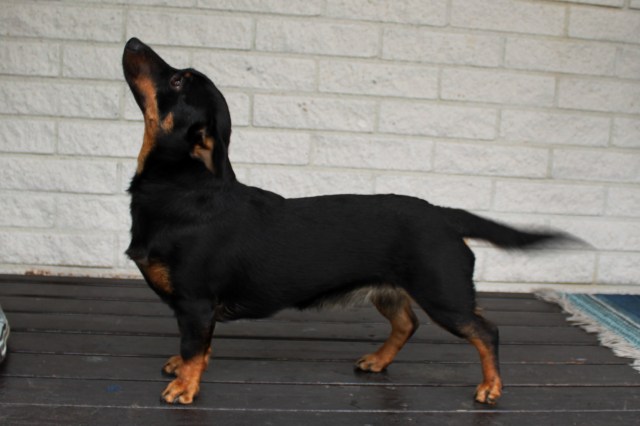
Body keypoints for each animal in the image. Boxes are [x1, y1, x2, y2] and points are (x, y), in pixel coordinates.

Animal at [123, 38, 569, 405]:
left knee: (486, 332)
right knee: (407, 324)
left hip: (445, 296)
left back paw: (490, 387)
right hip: (389, 291)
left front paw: (184, 386)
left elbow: (194, 346)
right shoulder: (200, 311)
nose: (134, 41)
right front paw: (185, 368)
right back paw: (377, 361)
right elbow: (200, 346)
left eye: (177, 79)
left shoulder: (196, 303)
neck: (181, 186)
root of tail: (443, 214)